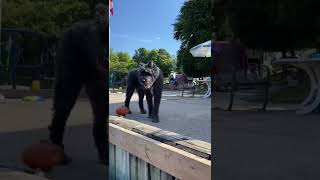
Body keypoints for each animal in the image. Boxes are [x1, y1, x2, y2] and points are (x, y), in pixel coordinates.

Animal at [48, 3, 109, 165]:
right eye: (102, 35)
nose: (105, 57)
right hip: (69, 62)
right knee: (64, 103)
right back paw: (57, 149)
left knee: (100, 113)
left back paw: (104, 153)